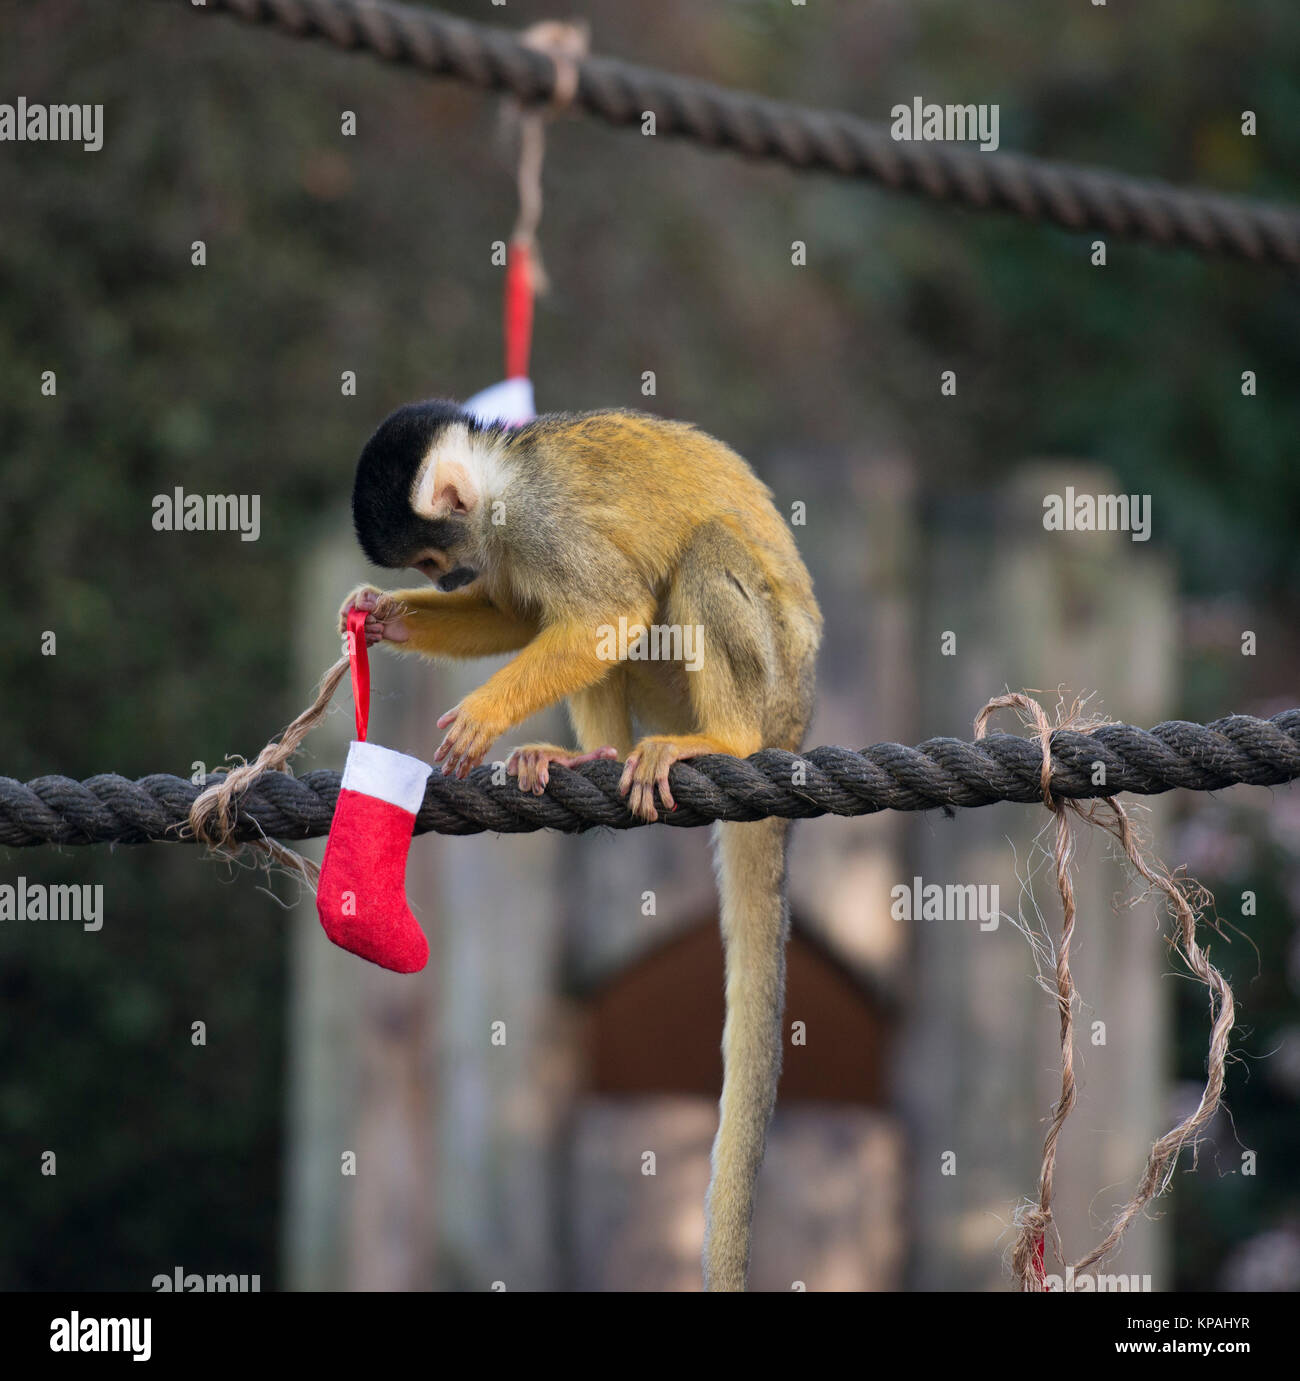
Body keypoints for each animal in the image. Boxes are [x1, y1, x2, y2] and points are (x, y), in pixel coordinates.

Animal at [339, 403, 817, 1292]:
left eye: (433, 557)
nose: (439, 581)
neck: (503, 476)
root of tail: (798, 725)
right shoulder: (504, 546)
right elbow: (523, 615)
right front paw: (385, 613)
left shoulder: (533, 526)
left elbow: (606, 611)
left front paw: (483, 712)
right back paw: (589, 756)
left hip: (775, 686)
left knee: (695, 557)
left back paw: (721, 740)